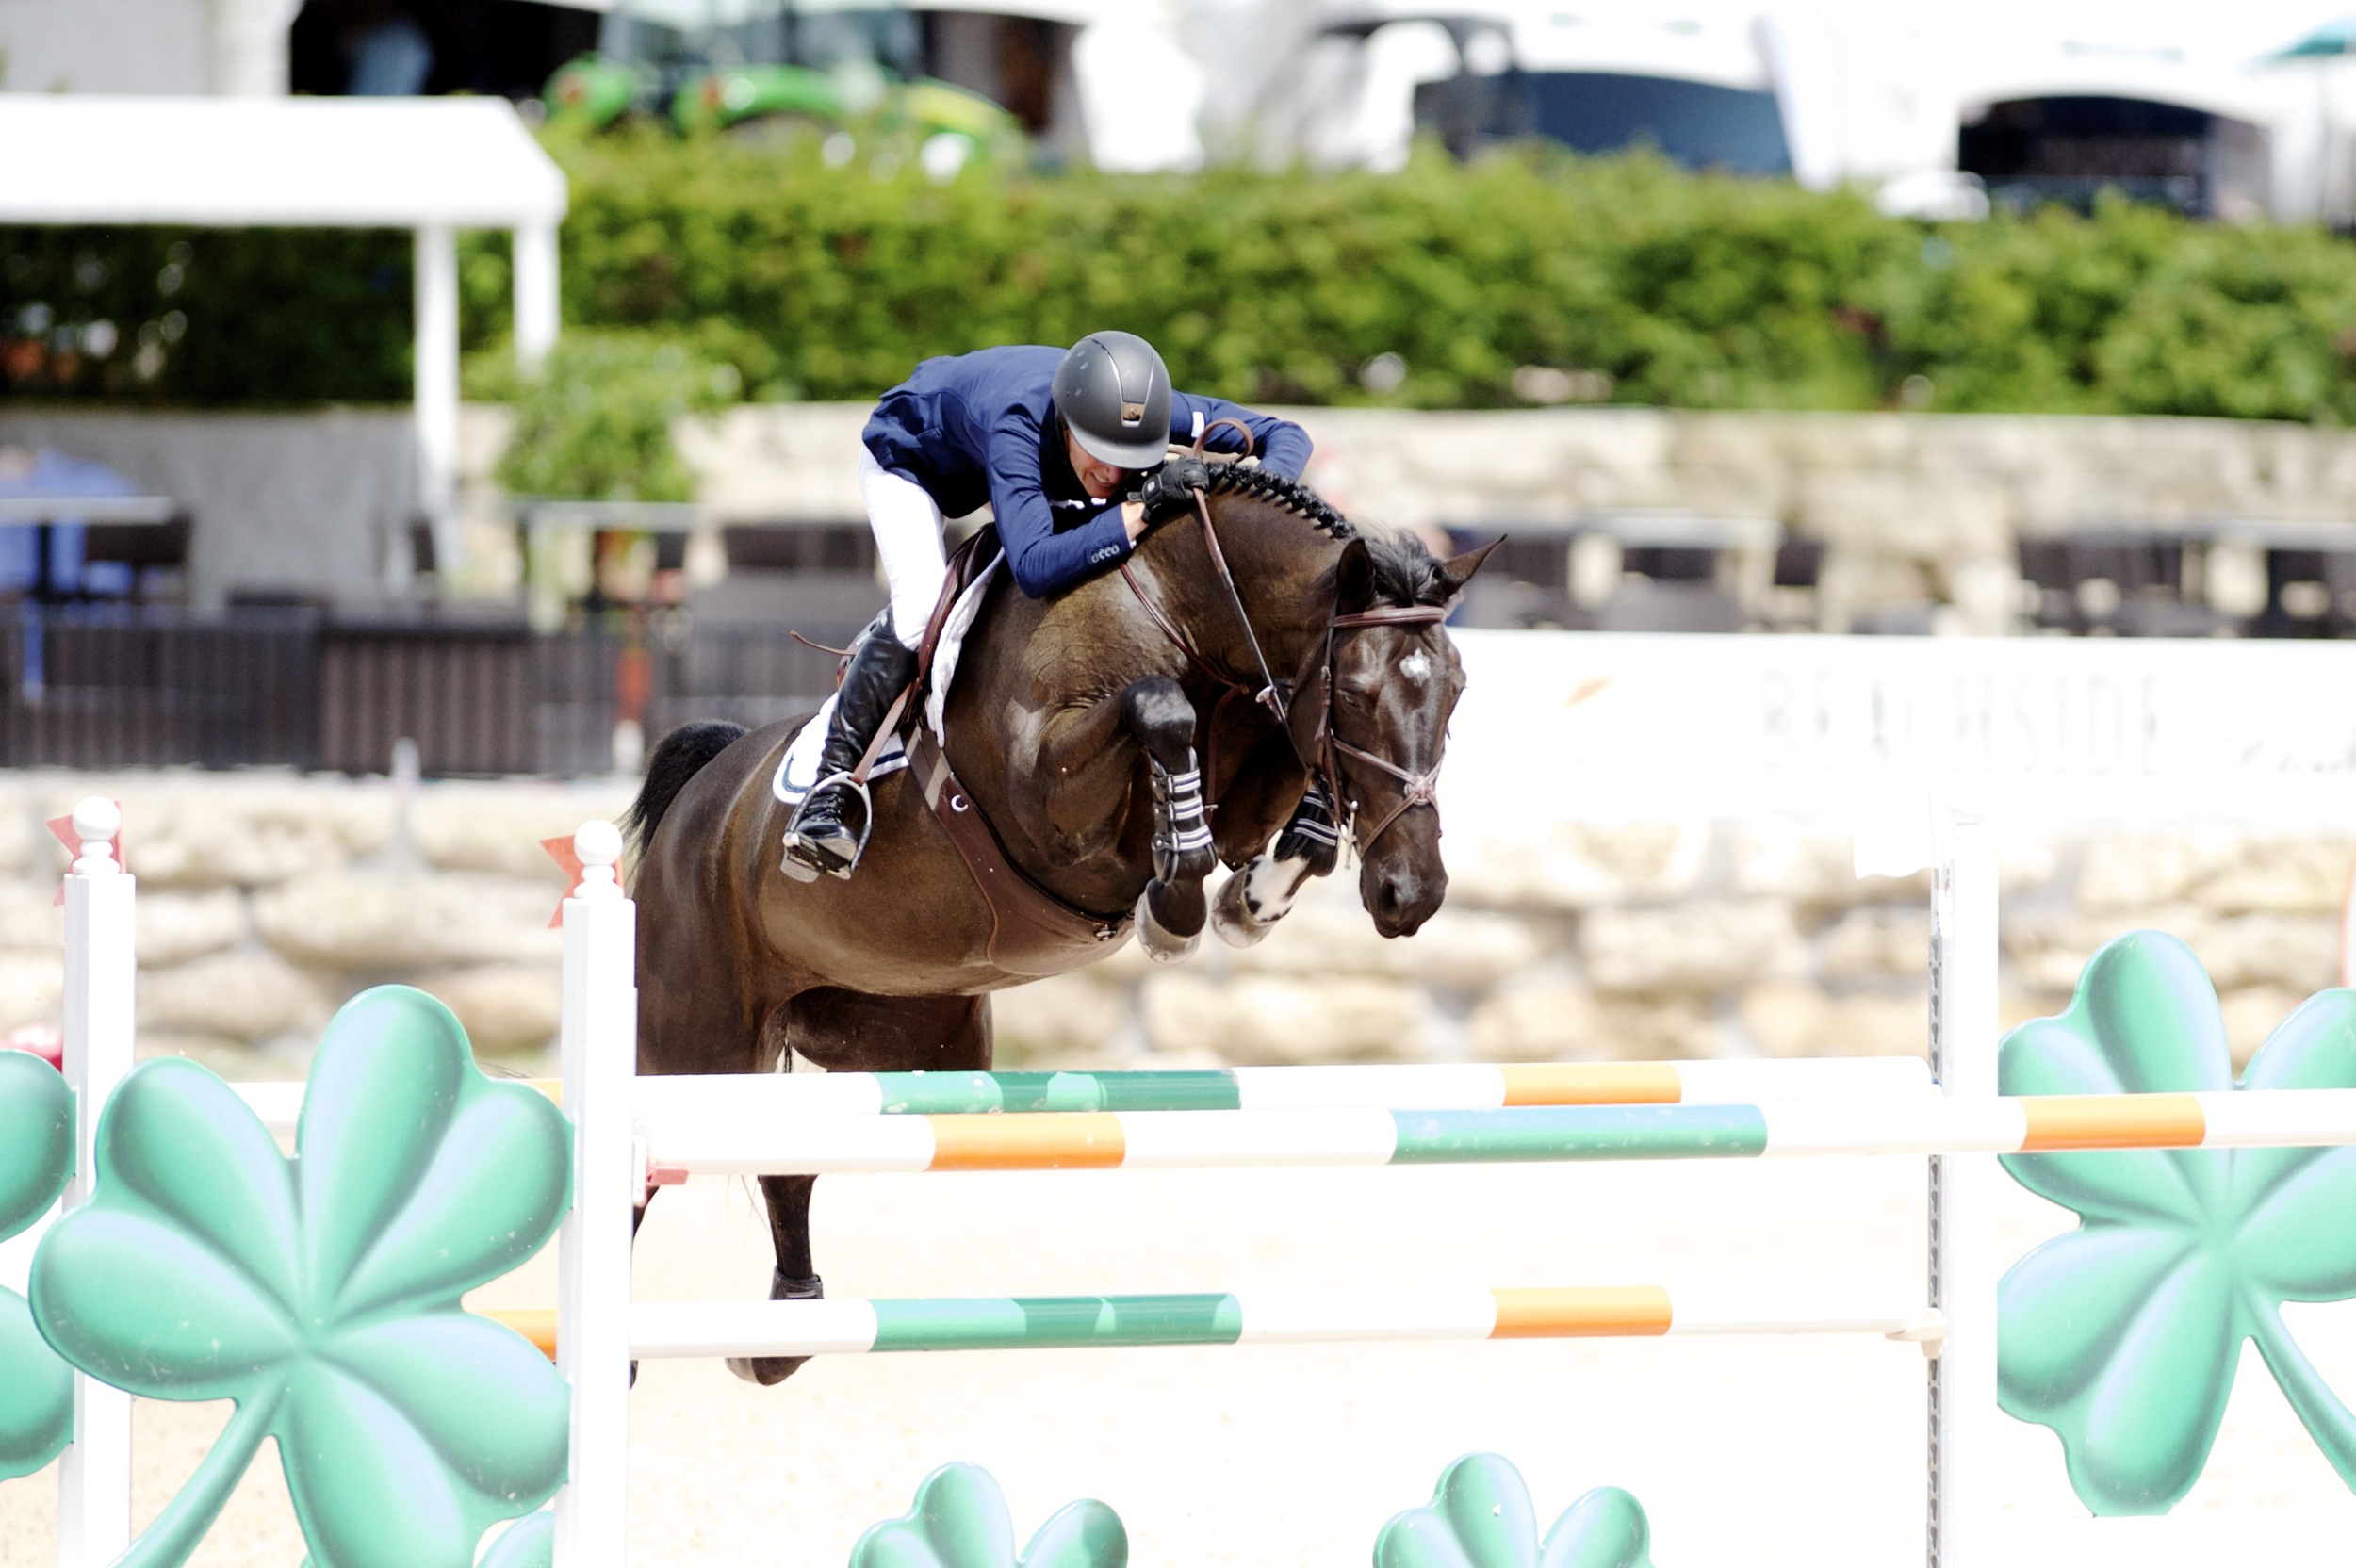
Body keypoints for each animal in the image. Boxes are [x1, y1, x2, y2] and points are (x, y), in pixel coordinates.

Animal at [617, 466, 1480, 1384]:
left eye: (1457, 688)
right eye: (1354, 691)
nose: (1413, 893)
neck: (1180, 610)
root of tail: (703, 787)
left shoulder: (1255, 756)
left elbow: (1277, 773)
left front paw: (1254, 896)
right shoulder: (1053, 805)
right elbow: (1159, 712)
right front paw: (1176, 909)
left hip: (901, 1045)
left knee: (788, 1159)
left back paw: (784, 1335)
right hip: (696, 1043)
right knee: (645, 1158)